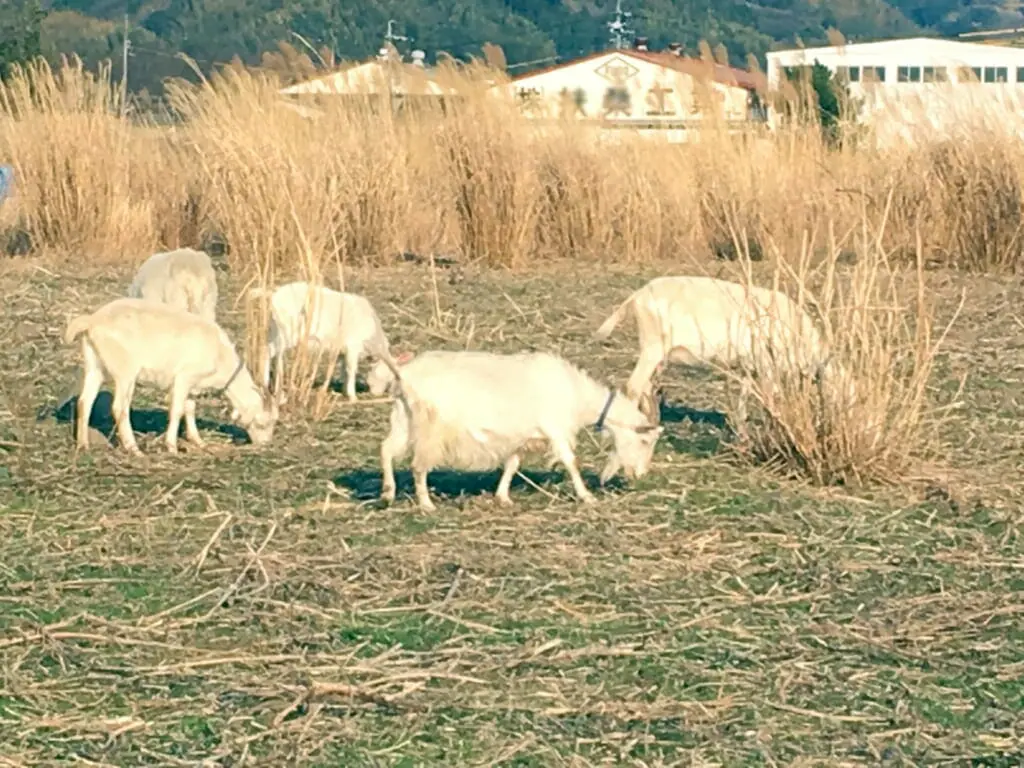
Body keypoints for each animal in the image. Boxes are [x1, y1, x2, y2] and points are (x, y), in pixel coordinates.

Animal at [65, 299, 280, 456]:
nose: (266, 444)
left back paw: (83, 445)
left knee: (85, 401)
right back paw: (134, 449)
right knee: (119, 407)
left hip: (94, 366)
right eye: (264, 422)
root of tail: (93, 320)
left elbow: (190, 409)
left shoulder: (193, 386)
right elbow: (177, 410)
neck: (221, 355)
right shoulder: (184, 377)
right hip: (125, 371)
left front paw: (198, 441)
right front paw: (172, 446)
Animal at [249, 280, 401, 403]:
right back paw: (268, 385)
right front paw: (353, 396)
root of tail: (275, 295)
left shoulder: (342, 350)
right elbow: (351, 370)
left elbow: (343, 370)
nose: (376, 394)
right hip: (287, 332)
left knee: (272, 353)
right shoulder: (353, 346)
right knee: (268, 352)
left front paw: (344, 391)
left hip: (276, 331)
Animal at [378, 352, 663, 514]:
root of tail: (404, 375)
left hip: (403, 419)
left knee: (387, 449)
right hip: (431, 427)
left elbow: (512, 464)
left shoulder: (523, 436)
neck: (576, 394)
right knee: (418, 465)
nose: (641, 474)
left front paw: (503, 497)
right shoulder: (555, 428)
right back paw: (426, 504)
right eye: (645, 440)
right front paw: (587, 496)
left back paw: (387, 493)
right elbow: (571, 461)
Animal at [593, 274, 847, 423]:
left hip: (656, 354)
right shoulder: (767, 364)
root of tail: (638, 295)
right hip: (652, 347)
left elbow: (745, 395)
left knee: (646, 386)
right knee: (633, 387)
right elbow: (771, 397)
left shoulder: (751, 366)